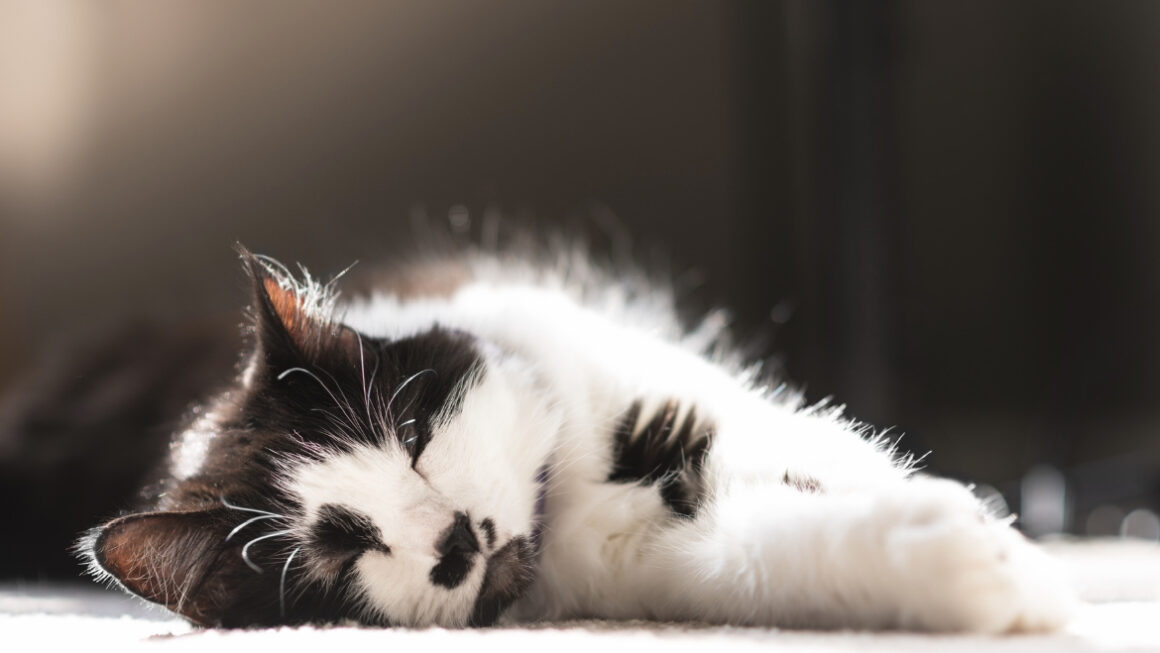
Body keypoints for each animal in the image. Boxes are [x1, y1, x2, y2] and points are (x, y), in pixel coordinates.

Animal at [79, 242, 1076, 630]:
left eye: (414, 433)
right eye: (342, 550)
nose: (455, 538)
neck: (575, 492)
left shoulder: (696, 399)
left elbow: (849, 459)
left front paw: (1009, 544)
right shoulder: (677, 561)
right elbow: (782, 546)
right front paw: (981, 572)